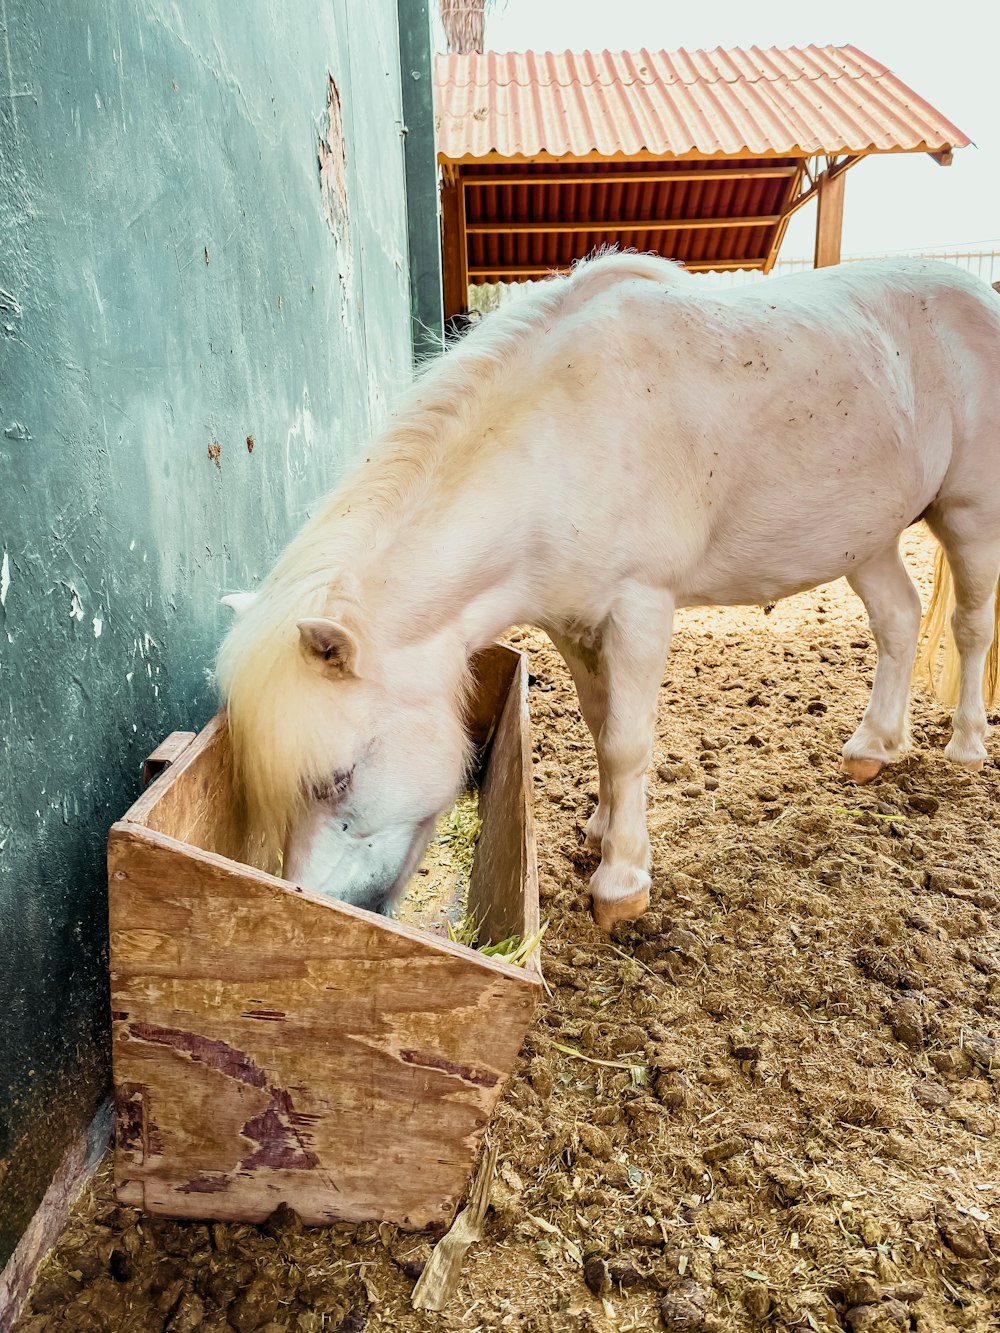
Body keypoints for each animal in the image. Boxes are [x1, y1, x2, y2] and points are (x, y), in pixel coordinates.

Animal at [217, 254, 1000, 933]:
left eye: (336, 779)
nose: (316, 904)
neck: (563, 438)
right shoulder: (571, 622)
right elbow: (599, 723)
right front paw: (600, 827)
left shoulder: (639, 609)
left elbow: (627, 741)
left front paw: (621, 882)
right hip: (865, 537)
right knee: (899, 622)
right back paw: (875, 747)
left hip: (969, 515)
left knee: (970, 627)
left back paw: (965, 745)